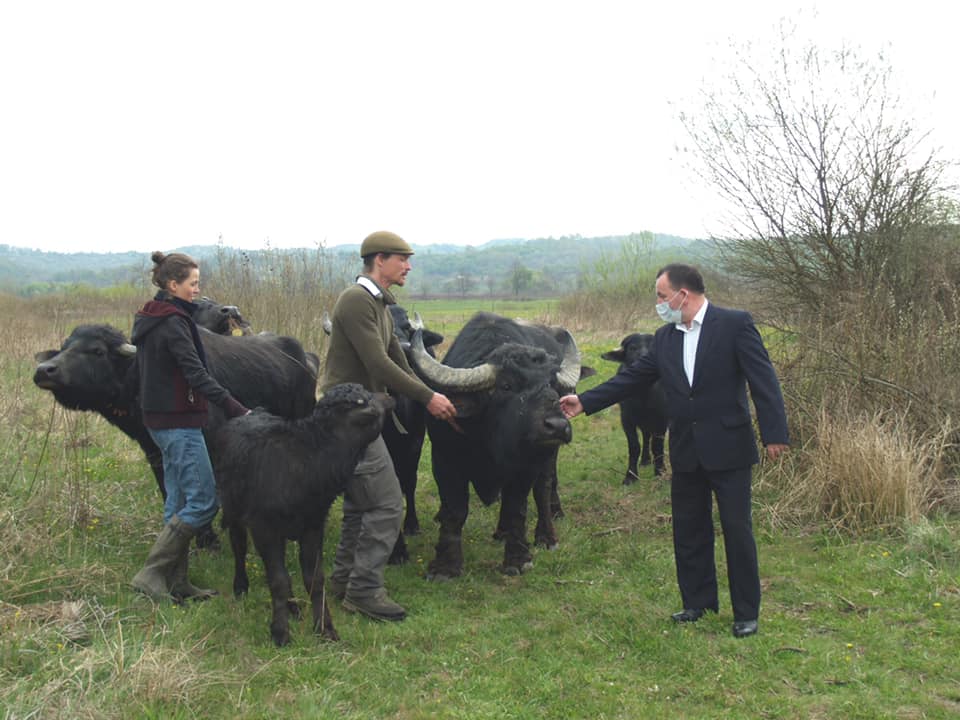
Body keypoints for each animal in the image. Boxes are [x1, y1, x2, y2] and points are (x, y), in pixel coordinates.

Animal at [210, 382, 394, 648]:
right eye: (365, 400)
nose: (389, 398)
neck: (308, 461)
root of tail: (250, 413)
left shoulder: (313, 525)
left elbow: (314, 578)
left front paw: (325, 628)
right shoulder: (263, 527)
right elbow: (278, 580)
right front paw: (280, 632)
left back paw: (293, 607)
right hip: (234, 507)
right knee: (239, 546)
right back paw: (241, 586)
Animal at [406, 310, 592, 580]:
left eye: (552, 386)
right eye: (506, 386)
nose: (557, 426)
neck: (491, 441)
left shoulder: (526, 466)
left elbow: (517, 507)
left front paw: (518, 558)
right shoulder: (444, 460)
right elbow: (454, 510)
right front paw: (445, 566)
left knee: (544, 487)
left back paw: (546, 534)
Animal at [600, 334, 668, 484]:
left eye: (653, 346)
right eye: (632, 348)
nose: (644, 359)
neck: (643, 395)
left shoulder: (661, 420)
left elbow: (658, 446)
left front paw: (660, 472)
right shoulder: (626, 419)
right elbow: (634, 446)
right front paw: (630, 476)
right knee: (646, 436)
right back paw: (645, 460)